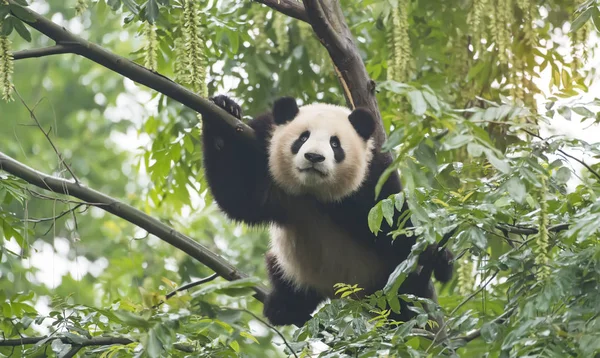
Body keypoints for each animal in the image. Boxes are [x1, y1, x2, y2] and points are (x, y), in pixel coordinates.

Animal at [202, 95, 450, 328]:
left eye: (335, 144)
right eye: (303, 138)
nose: (314, 157)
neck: (315, 193)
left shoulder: (375, 177)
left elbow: (394, 227)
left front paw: (437, 256)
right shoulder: (263, 148)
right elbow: (238, 196)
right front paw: (225, 108)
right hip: (294, 268)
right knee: (284, 275)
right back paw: (284, 307)